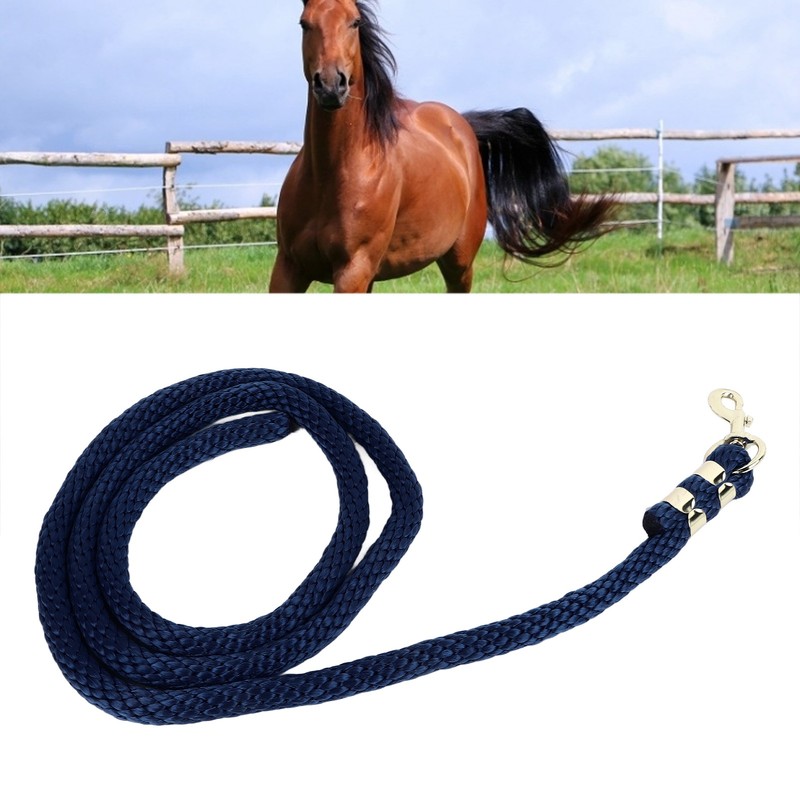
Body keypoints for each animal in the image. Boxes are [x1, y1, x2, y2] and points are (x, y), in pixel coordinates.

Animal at [271, 0, 616, 293]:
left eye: (354, 22)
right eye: (304, 23)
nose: (331, 85)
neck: (331, 175)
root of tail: (462, 125)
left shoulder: (353, 270)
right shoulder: (289, 268)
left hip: (458, 262)